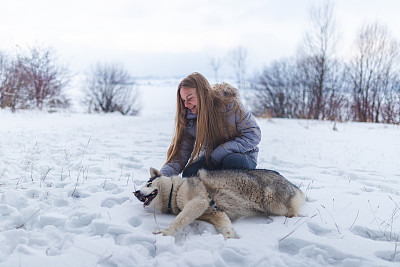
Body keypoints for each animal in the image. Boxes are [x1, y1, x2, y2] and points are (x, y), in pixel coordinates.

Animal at [133, 169, 304, 240]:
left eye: (148, 184)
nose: (136, 193)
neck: (175, 191)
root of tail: (293, 185)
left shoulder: (198, 201)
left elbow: (179, 220)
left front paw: (164, 232)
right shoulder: (215, 213)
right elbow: (224, 225)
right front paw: (230, 237)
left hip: (272, 201)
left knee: (293, 212)